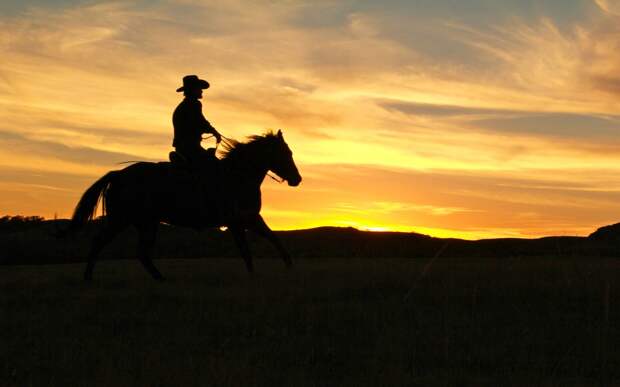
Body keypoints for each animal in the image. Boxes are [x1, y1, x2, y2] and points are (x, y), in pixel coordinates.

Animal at [70, 131, 302, 282]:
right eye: (285, 153)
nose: (297, 179)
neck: (237, 176)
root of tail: (117, 175)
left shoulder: (250, 218)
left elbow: (273, 238)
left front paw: (289, 267)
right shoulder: (237, 222)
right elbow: (246, 249)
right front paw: (255, 275)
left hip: (145, 223)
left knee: (142, 252)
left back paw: (160, 278)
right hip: (121, 220)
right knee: (101, 242)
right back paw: (88, 277)